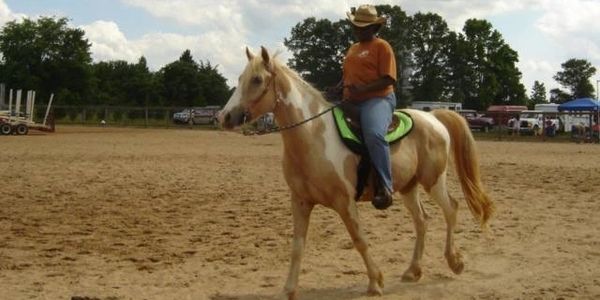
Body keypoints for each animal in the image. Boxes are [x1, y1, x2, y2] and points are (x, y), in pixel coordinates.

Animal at [218, 46, 494, 298]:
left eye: (256, 79)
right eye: (240, 78)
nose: (224, 117)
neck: (314, 136)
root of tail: (434, 117)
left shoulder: (345, 202)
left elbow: (359, 240)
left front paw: (375, 283)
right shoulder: (300, 201)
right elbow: (297, 246)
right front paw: (288, 290)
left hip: (433, 181)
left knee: (451, 209)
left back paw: (455, 262)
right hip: (408, 187)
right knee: (422, 221)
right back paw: (412, 271)